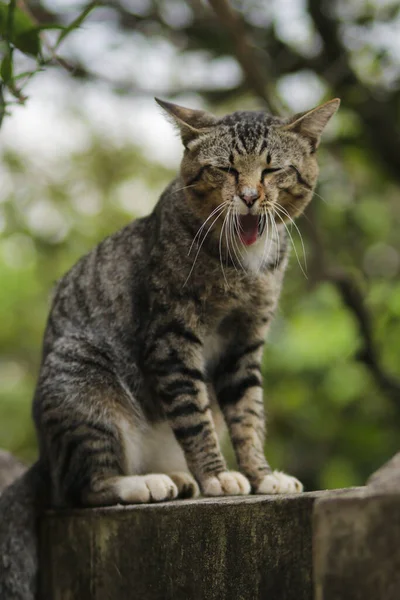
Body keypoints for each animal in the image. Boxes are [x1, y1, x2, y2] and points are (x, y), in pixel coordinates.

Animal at [0, 95, 338, 596]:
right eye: (226, 169)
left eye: (273, 169)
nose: (249, 196)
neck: (243, 265)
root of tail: (43, 456)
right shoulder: (171, 338)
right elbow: (193, 414)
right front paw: (217, 476)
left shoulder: (244, 343)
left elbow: (248, 414)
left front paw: (260, 474)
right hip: (83, 382)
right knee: (81, 487)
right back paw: (140, 484)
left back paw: (178, 479)